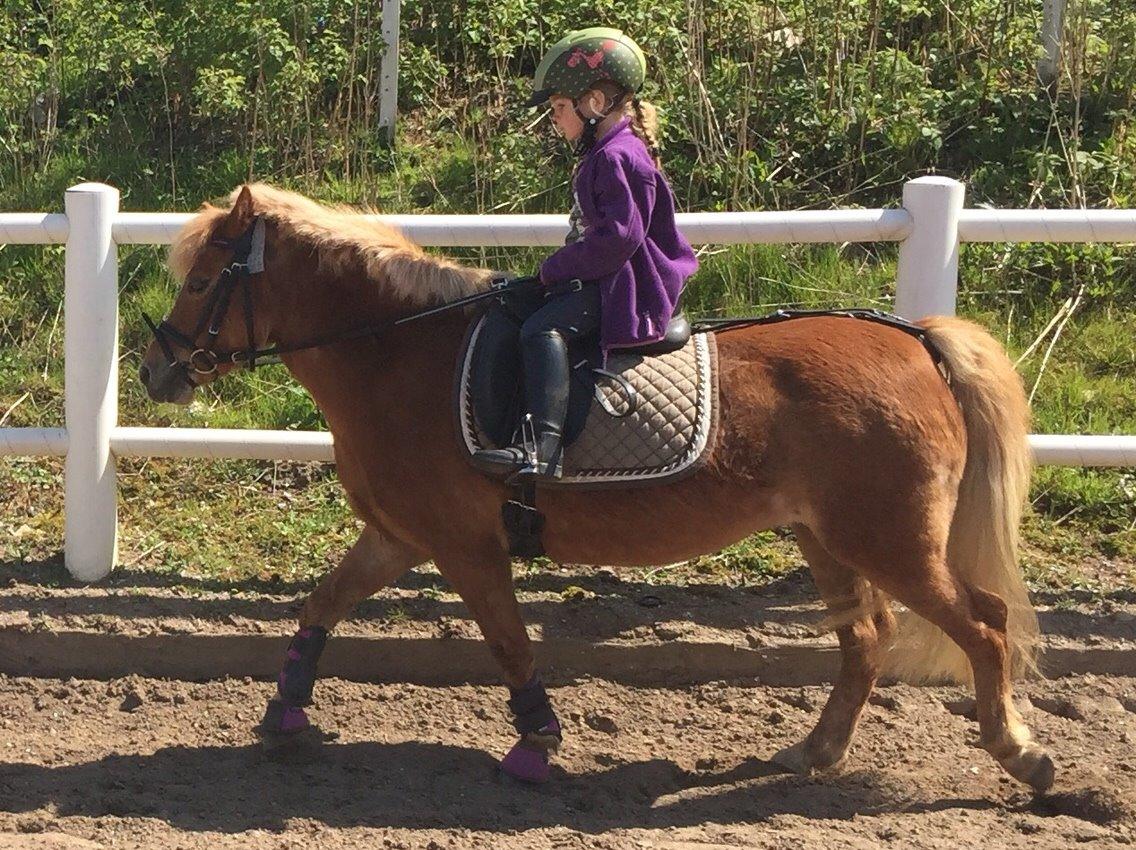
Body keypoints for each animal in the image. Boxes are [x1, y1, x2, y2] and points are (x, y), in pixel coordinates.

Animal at [139, 183, 1054, 791]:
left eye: (201, 280)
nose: (155, 371)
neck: (397, 353)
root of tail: (916, 341)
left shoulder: (465, 546)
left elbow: (509, 642)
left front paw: (536, 742)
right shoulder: (398, 535)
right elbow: (320, 606)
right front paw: (283, 716)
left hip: (888, 539)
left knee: (984, 623)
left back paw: (1019, 752)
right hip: (825, 536)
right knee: (866, 636)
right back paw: (814, 752)